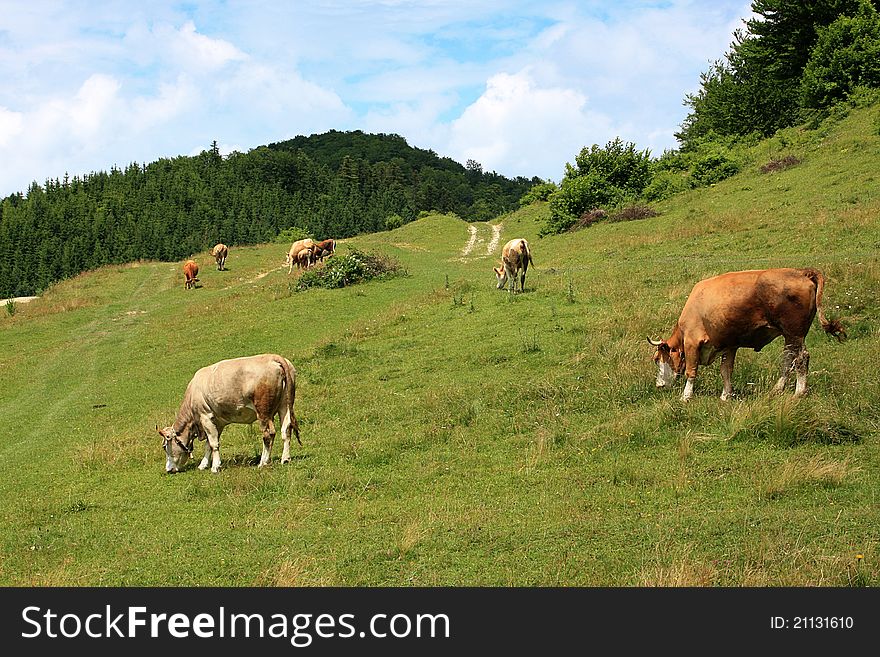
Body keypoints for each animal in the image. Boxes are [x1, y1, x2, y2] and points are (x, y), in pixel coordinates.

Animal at [155, 354, 300, 472]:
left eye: (164, 446)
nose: (168, 470)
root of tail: (273, 357)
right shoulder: (217, 422)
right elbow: (209, 444)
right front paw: (203, 464)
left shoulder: (205, 416)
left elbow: (213, 443)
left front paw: (215, 467)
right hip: (285, 406)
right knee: (286, 430)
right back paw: (285, 458)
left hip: (263, 412)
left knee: (268, 434)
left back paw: (263, 462)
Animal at [648, 266, 844, 400]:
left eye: (657, 359)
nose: (659, 385)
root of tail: (800, 272)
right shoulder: (728, 346)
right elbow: (726, 371)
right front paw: (726, 396)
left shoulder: (692, 342)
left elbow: (691, 371)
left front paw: (686, 396)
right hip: (790, 336)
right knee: (788, 360)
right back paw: (777, 389)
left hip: (794, 333)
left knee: (801, 358)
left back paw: (799, 392)